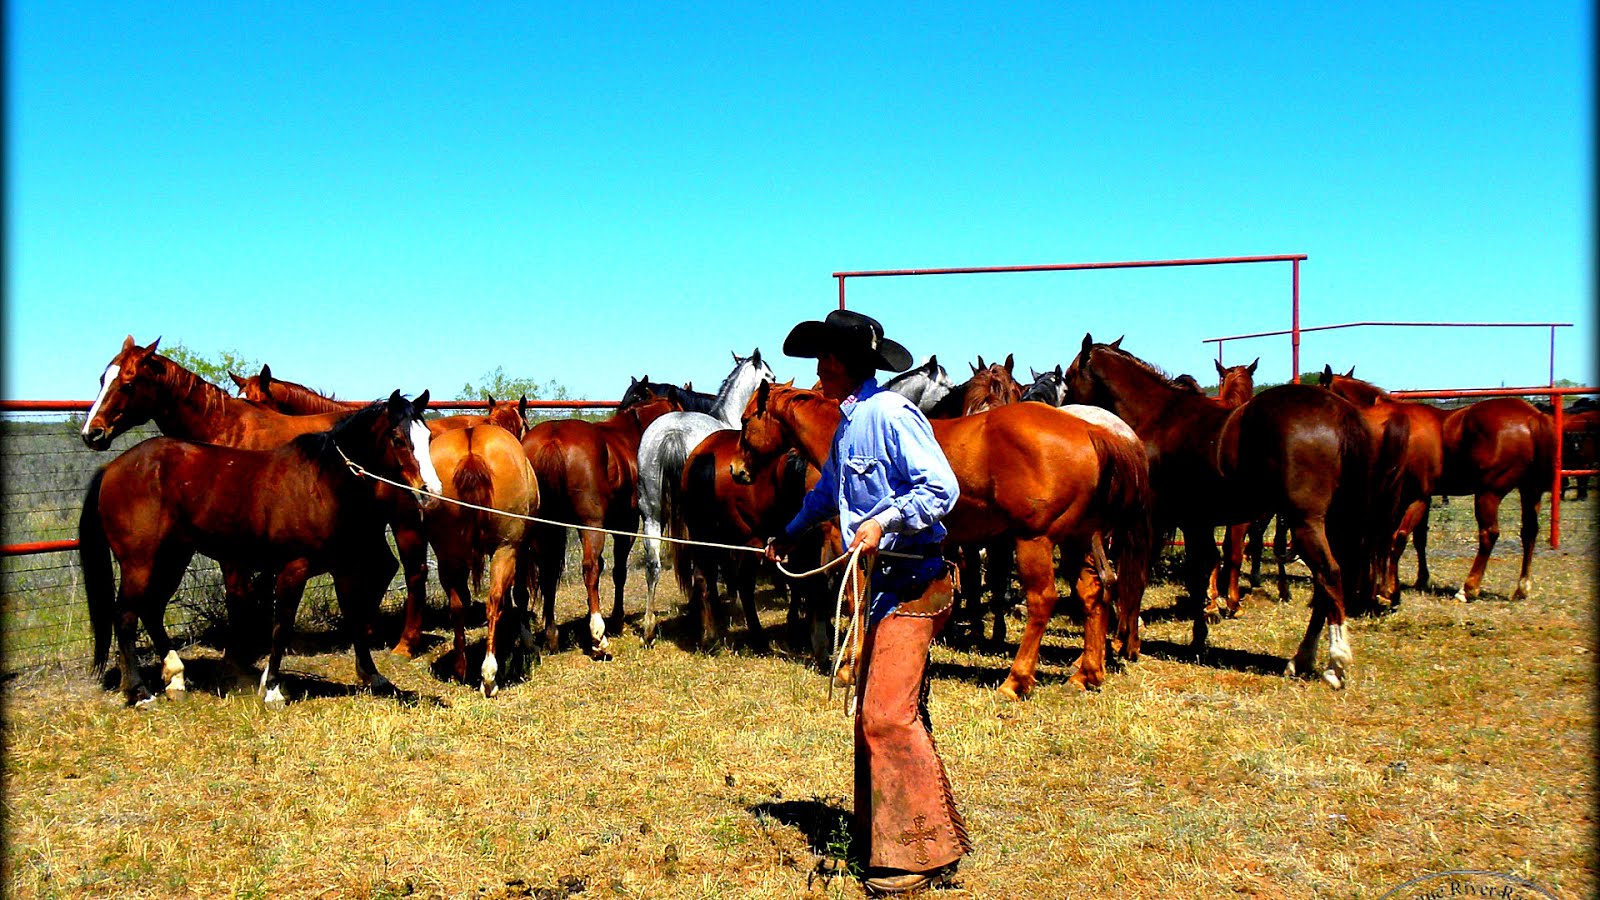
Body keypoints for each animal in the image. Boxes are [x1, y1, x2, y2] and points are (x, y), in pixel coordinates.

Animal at [78, 391, 441, 707]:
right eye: (398, 439)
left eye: (428, 438)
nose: (431, 492)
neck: (321, 483)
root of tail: (113, 468)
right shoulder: (293, 568)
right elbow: (282, 626)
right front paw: (272, 689)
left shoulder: (343, 567)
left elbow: (353, 618)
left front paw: (373, 677)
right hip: (140, 561)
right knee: (125, 616)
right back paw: (140, 693)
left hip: (172, 557)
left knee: (151, 609)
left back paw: (176, 679)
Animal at [519, 396, 679, 657]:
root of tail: (553, 439)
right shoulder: (626, 525)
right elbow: (618, 571)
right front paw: (615, 619)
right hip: (591, 526)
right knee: (589, 568)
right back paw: (598, 637)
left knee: (541, 574)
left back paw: (544, 637)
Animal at [733, 382, 1153, 698]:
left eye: (745, 420)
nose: (737, 471)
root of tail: (1090, 429)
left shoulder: (850, 540)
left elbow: (854, 600)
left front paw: (849, 669)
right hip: (1076, 540)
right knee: (1092, 593)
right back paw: (1086, 674)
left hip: (1035, 540)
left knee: (1042, 601)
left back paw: (1016, 680)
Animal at [1063, 336, 1407, 689]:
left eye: (1070, 375)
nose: (1068, 412)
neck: (1160, 416)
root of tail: (1339, 412)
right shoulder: (1195, 521)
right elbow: (1199, 573)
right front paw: (1199, 637)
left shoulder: (1152, 520)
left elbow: (1138, 575)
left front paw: (1126, 641)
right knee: (1327, 586)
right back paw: (1301, 659)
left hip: (1306, 524)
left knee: (1330, 575)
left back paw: (1335, 664)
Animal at [1320, 368, 1555, 603]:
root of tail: (1532, 416)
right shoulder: (1424, 496)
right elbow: (1419, 538)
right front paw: (1421, 579)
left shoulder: (1408, 497)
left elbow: (1398, 537)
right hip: (1530, 491)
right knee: (1529, 531)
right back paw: (1522, 588)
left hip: (1488, 494)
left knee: (1489, 534)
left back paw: (1468, 589)